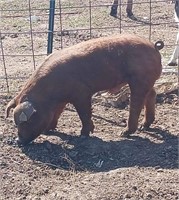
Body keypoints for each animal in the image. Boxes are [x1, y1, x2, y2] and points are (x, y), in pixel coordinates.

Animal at [5, 33, 164, 145]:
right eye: (15, 123)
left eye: (26, 122)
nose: (18, 141)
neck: (49, 94)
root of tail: (154, 46)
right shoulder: (62, 100)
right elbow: (57, 113)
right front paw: (49, 130)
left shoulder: (81, 93)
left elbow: (84, 113)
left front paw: (83, 135)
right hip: (146, 81)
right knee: (152, 94)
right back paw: (145, 127)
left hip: (139, 79)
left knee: (137, 103)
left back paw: (124, 133)